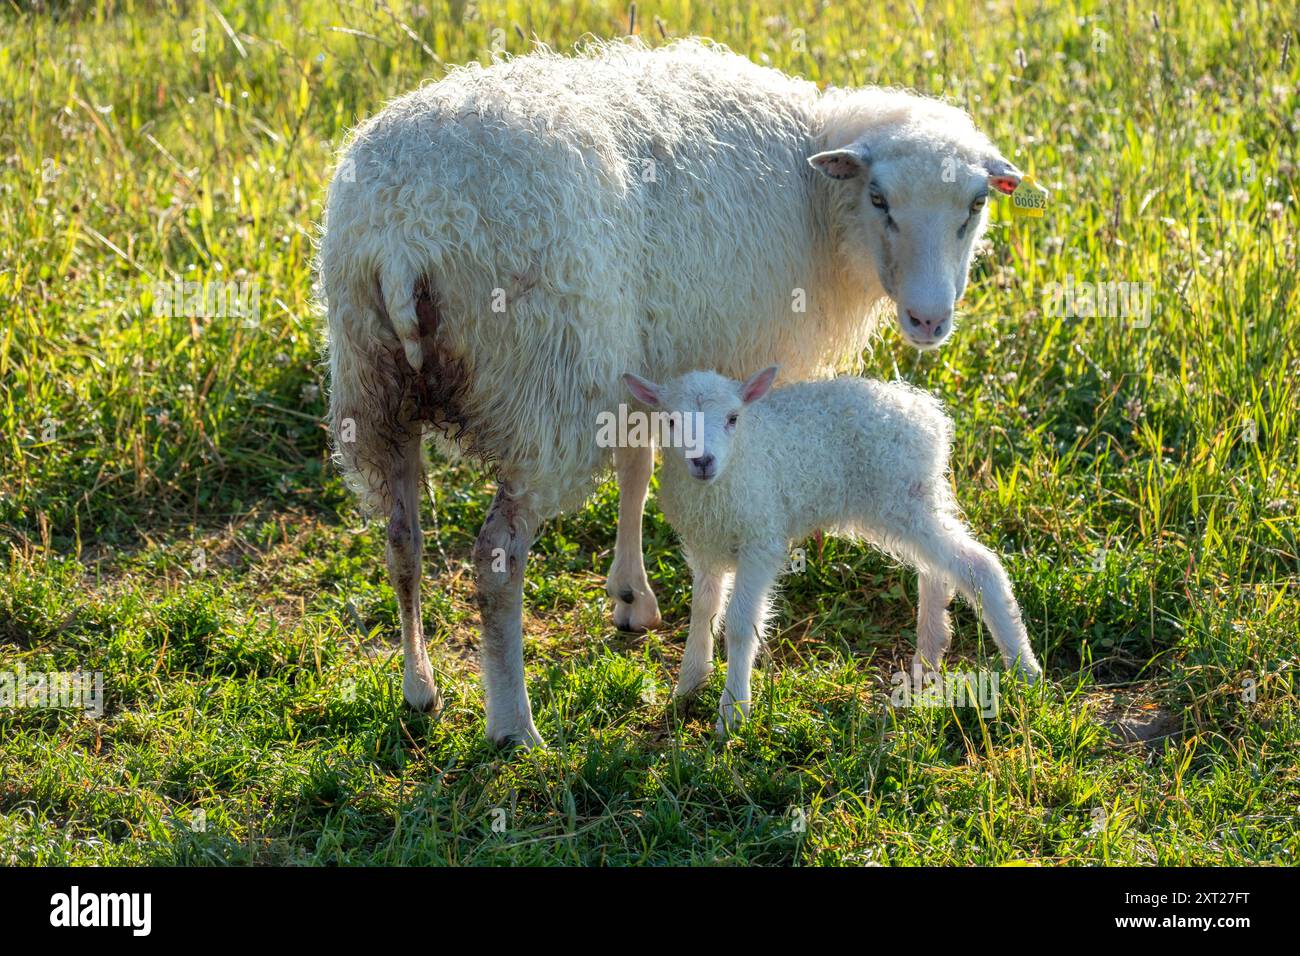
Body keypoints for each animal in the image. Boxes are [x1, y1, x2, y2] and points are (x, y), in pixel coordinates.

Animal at [621, 366, 1045, 733]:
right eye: (671, 422)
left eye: (732, 418)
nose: (703, 461)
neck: (725, 478)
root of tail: (928, 414)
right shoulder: (707, 547)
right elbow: (703, 613)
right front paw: (689, 687)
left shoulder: (761, 538)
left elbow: (741, 624)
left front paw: (732, 714)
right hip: (912, 499)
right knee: (937, 569)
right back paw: (928, 658)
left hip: (900, 494)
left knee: (979, 565)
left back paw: (1024, 670)